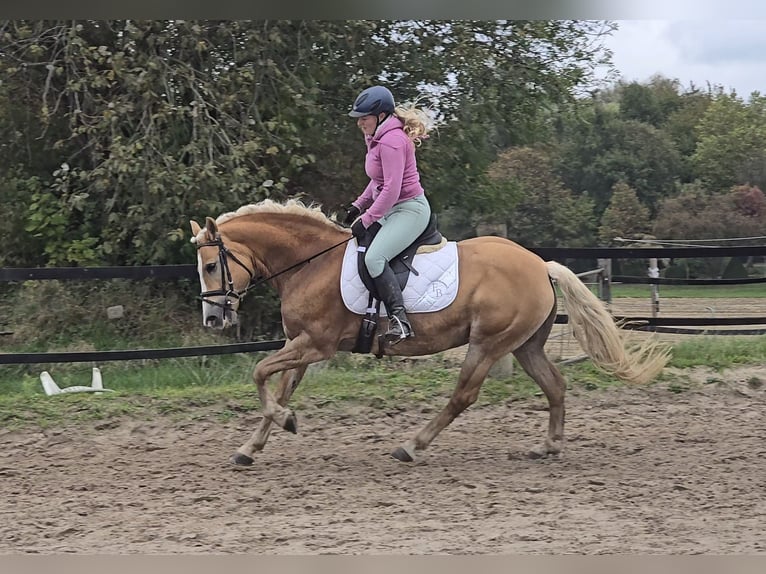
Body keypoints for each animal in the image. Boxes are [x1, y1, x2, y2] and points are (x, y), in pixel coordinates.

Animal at [190, 200, 672, 466]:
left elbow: (258, 373)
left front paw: (284, 422)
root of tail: (540, 264)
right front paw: (253, 446)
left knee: (463, 396)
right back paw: (548, 447)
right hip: (524, 345)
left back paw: (411, 445)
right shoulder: (301, 346)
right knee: (554, 385)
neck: (311, 263)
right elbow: (279, 388)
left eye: (212, 265)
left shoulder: (315, 345)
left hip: (488, 344)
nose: (213, 320)